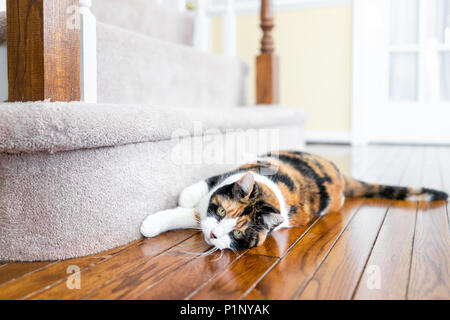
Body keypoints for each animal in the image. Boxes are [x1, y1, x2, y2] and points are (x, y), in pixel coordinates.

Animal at [140, 151, 446, 251]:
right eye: (223, 211)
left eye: (238, 234)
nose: (214, 235)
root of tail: (339, 173)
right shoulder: (225, 179)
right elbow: (195, 200)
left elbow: (191, 212)